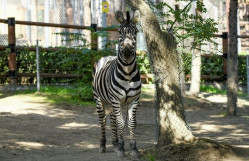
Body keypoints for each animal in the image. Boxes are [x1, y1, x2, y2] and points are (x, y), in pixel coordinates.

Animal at [92, 10, 142, 158]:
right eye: (120, 31)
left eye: (136, 31)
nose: (127, 52)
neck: (127, 73)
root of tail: (107, 56)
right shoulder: (116, 99)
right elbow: (121, 123)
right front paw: (121, 148)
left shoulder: (134, 100)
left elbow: (131, 123)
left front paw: (133, 148)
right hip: (99, 98)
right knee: (103, 119)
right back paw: (103, 145)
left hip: (111, 101)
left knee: (112, 118)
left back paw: (114, 143)